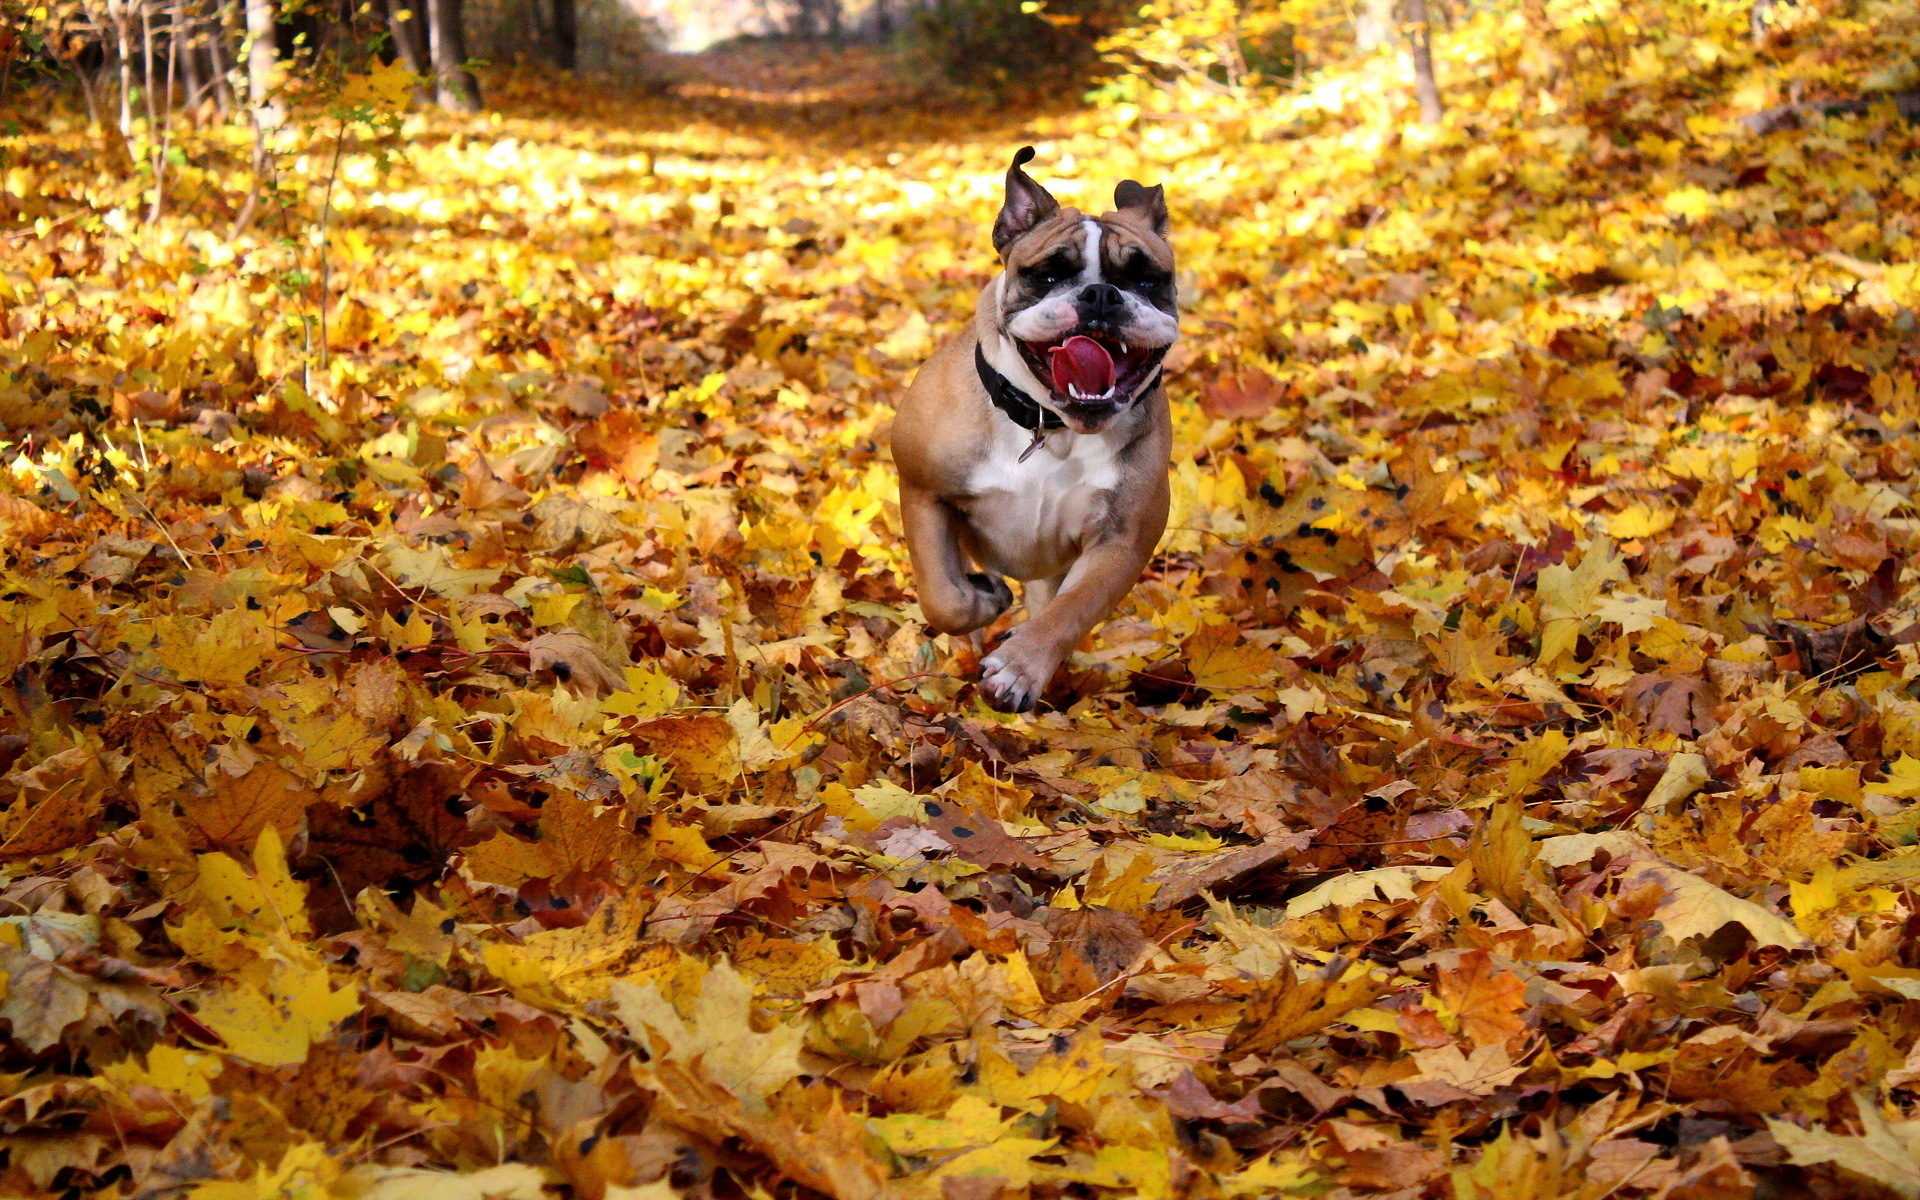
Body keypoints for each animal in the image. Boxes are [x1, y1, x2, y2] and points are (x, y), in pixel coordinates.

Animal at [890, 148, 1175, 710]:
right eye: (1046, 276)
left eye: (1148, 280)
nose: (1101, 294)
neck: (1053, 426)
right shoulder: (922, 491)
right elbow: (944, 597)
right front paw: (982, 599)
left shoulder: (1120, 542)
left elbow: (1072, 610)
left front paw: (1021, 667)